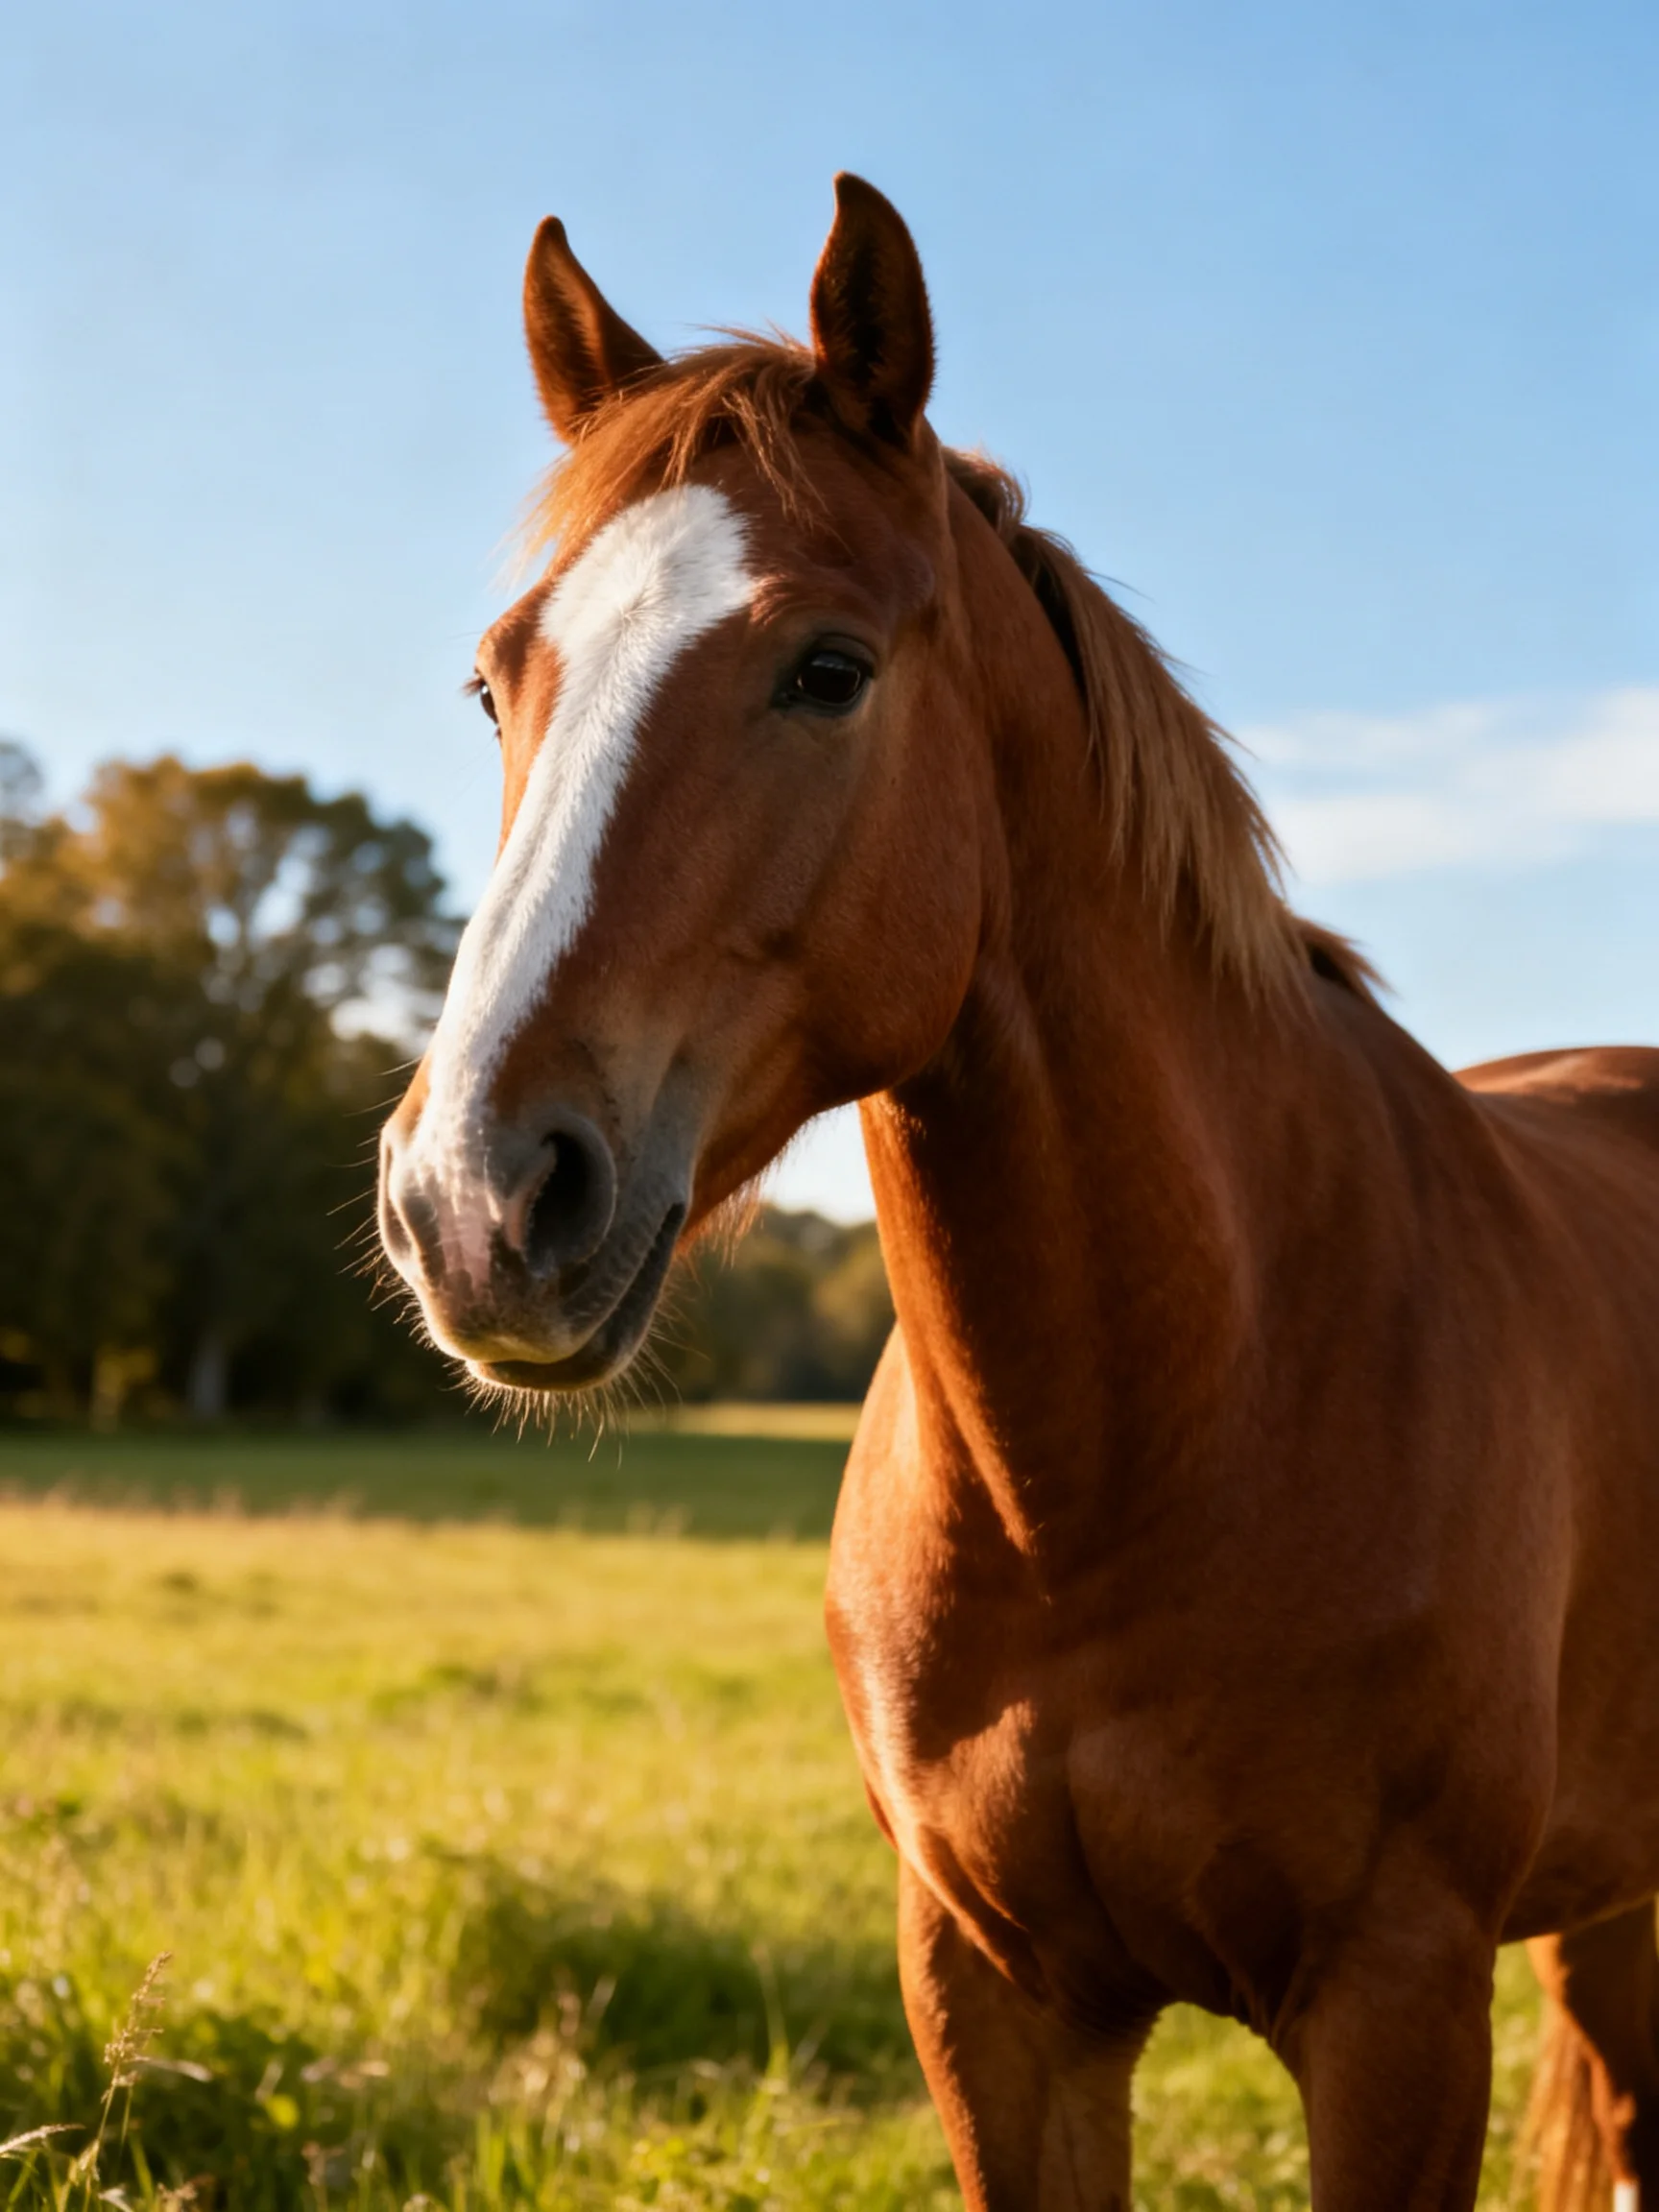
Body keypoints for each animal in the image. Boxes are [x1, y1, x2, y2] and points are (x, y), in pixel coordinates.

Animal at [378, 175, 1659, 2210]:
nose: (475, 1199)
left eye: (825, 668)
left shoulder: (1395, 2000)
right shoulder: (992, 1998)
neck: (1152, 1440)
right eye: (497, 679)